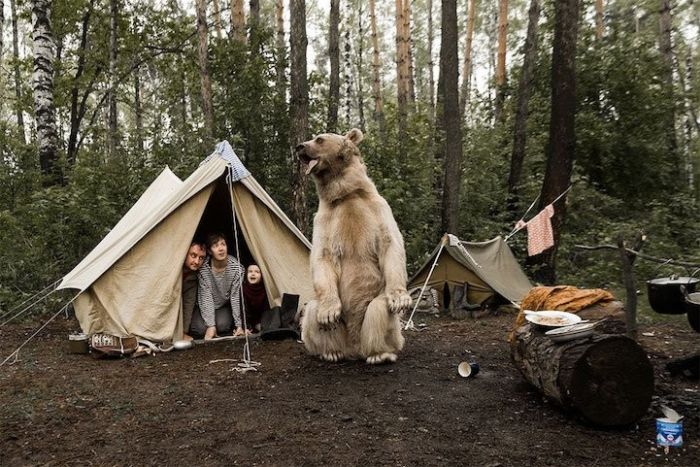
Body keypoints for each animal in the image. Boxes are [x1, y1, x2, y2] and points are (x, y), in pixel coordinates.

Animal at [294, 129, 410, 366]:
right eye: (313, 138)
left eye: (319, 139)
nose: (300, 146)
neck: (346, 193)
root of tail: (354, 349)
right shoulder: (324, 219)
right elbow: (322, 256)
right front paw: (328, 313)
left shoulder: (377, 208)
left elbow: (391, 244)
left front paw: (400, 298)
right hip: (337, 330)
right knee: (311, 310)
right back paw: (331, 352)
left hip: (387, 329)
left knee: (378, 309)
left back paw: (380, 354)